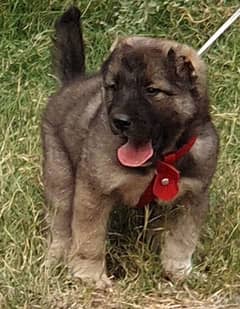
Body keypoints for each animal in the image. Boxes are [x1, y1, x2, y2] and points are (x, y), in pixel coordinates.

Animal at [41, 6, 219, 286]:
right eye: (114, 87)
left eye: (151, 90)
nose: (119, 121)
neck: (159, 160)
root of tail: (72, 84)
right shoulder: (93, 192)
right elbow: (89, 238)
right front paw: (90, 276)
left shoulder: (192, 195)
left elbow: (182, 238)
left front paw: (179, 271)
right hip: (60, 175)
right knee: (60, 224)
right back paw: (55, 259)